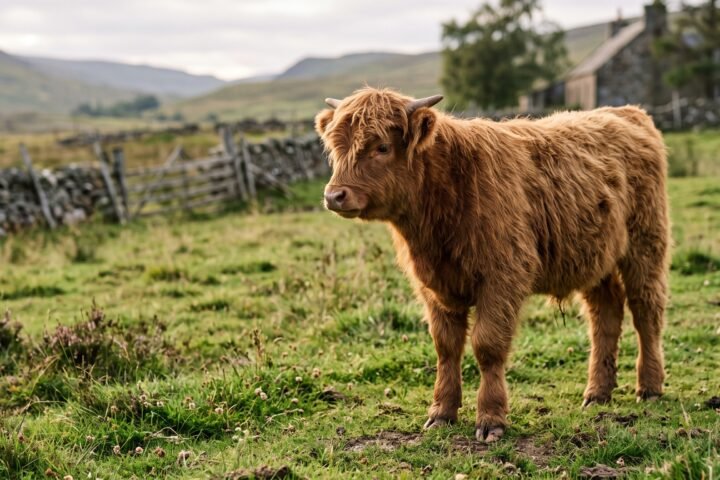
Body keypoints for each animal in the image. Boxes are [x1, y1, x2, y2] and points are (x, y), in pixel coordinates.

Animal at [315, 87, 670, 442]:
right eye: (335, 147)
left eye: (382, 147)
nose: (334, 196)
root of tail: (625, 112)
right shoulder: (434, 286)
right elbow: (446, 347)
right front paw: (441, 412)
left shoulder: (503, 277)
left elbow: (487, 345)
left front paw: (490, 419)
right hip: (595, 258)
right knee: (605, 315)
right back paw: (598, 392)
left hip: (645, 244)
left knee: (645, 310)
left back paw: (650, 387)